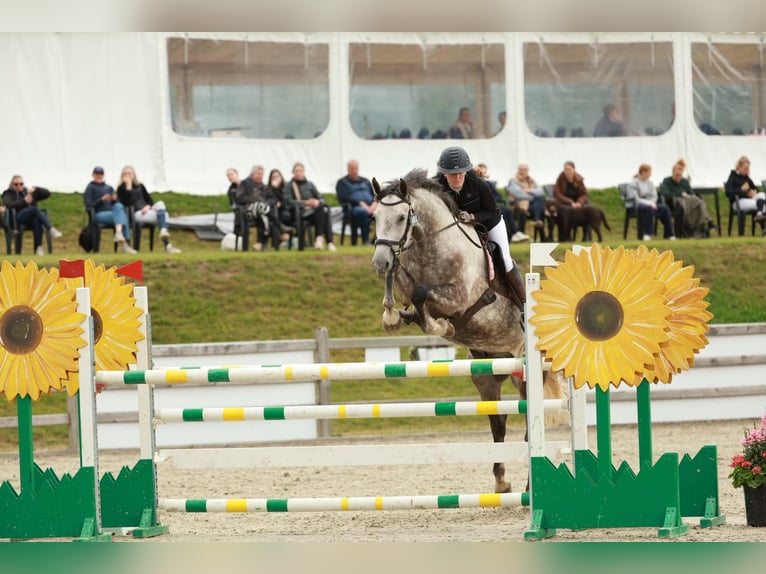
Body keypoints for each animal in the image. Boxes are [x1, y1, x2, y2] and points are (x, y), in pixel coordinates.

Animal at [376, 170, 568, 496]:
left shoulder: (461, 297)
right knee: (498, 424)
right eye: (374, 216)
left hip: (527, 375)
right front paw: (393, 315)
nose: (379, 261)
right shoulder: (404, 274)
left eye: (402, 217)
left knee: (529, 428)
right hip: (487, 372)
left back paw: (529, 488)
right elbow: (404, 286)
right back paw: (501, 481)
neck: (429, 244)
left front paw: (441, 325)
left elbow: (423, 294)